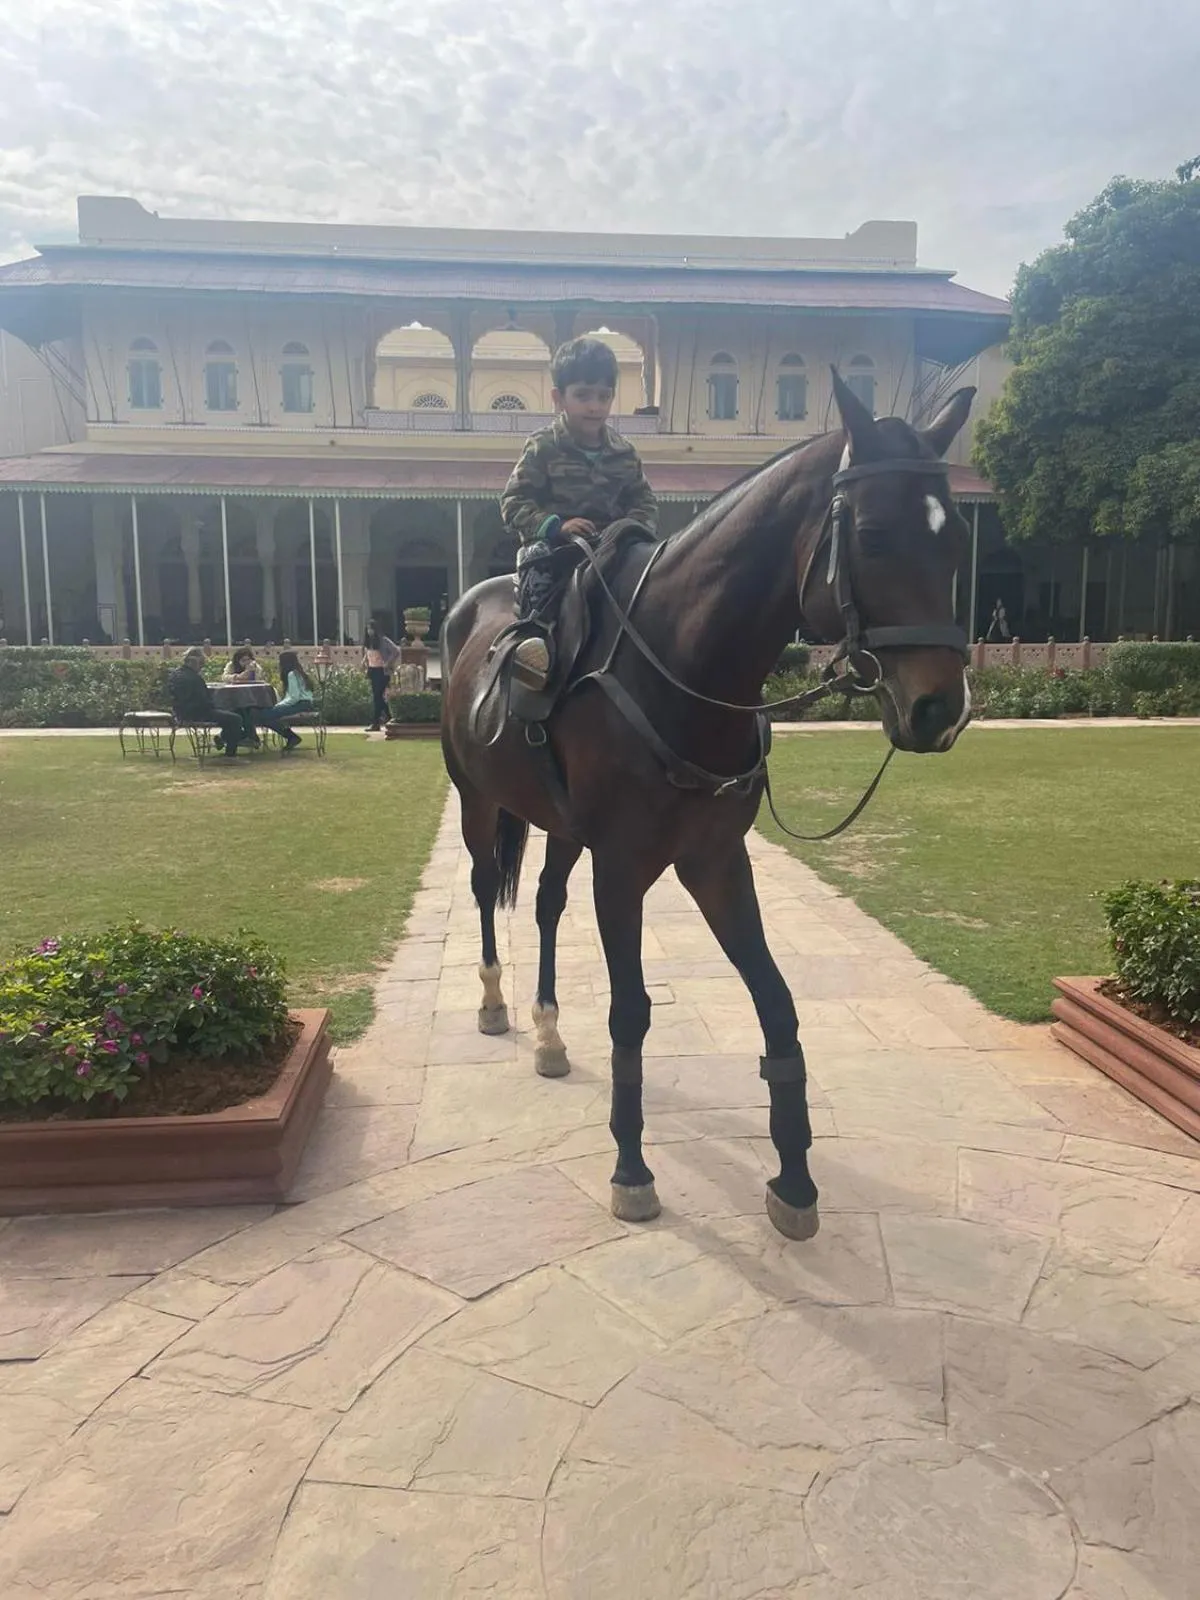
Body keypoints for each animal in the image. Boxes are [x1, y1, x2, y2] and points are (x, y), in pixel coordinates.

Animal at [440, 371, 975, 1241]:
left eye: (956, 535)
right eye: (872, 533)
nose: (939, 708)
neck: (683, 668)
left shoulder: (716, 861)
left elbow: (779, 1007)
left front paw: (794, 1176)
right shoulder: (623, 867)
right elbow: (631, 1015)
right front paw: (631, 1166)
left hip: (561, 822)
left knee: (548, 902)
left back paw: (550, 1032)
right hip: (475, 794)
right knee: (490, 885)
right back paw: (494, 1001)